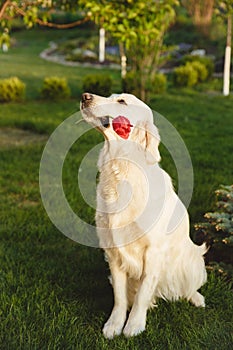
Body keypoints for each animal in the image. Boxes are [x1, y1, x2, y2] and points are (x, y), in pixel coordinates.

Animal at [80, 91, 208, 338]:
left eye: (121, 101)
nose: (84, 96)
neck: (122, 170)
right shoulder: (114, 251)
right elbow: (120, 297)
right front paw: (114, 324)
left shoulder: (154, 251)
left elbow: (143, 293)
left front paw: (134, 325)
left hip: (194, 260)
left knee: (190, 286)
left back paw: (197, 298)